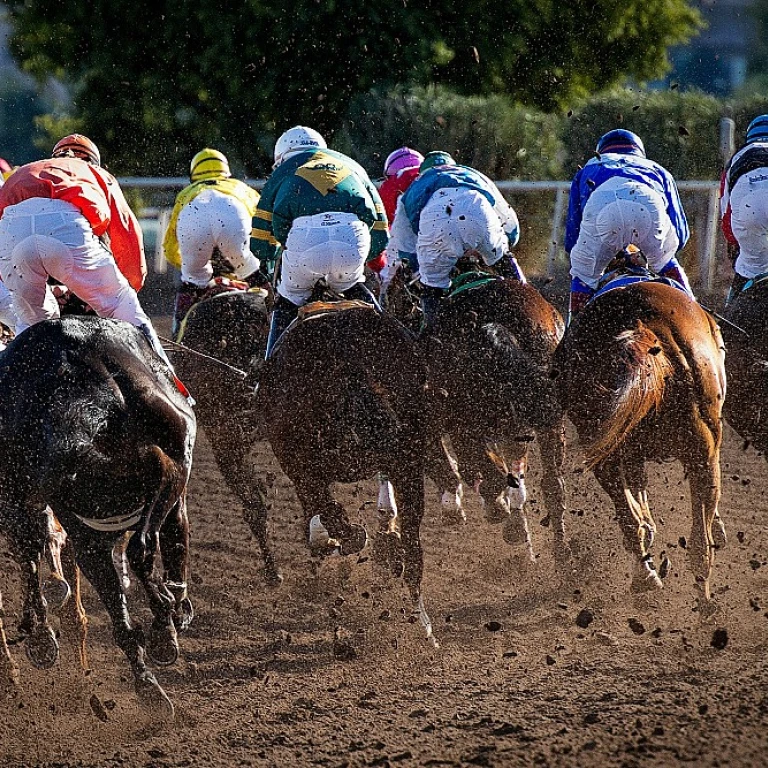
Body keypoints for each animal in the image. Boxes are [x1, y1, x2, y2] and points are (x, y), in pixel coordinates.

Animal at [258, 298, 438, 640]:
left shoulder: (300, 469)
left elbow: (324, 516)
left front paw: (331, 541)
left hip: (303, 461)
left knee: (333, 515)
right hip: (407, 460)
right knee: (414, 545)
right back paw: (421, 622)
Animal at [552, 280, 728, 608]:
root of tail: (640, 324)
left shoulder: (628, 452)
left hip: (602, 444)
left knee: (631, 518)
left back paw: (650, 575)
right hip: (703, 446)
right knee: (699, 541)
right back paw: (699, 598)